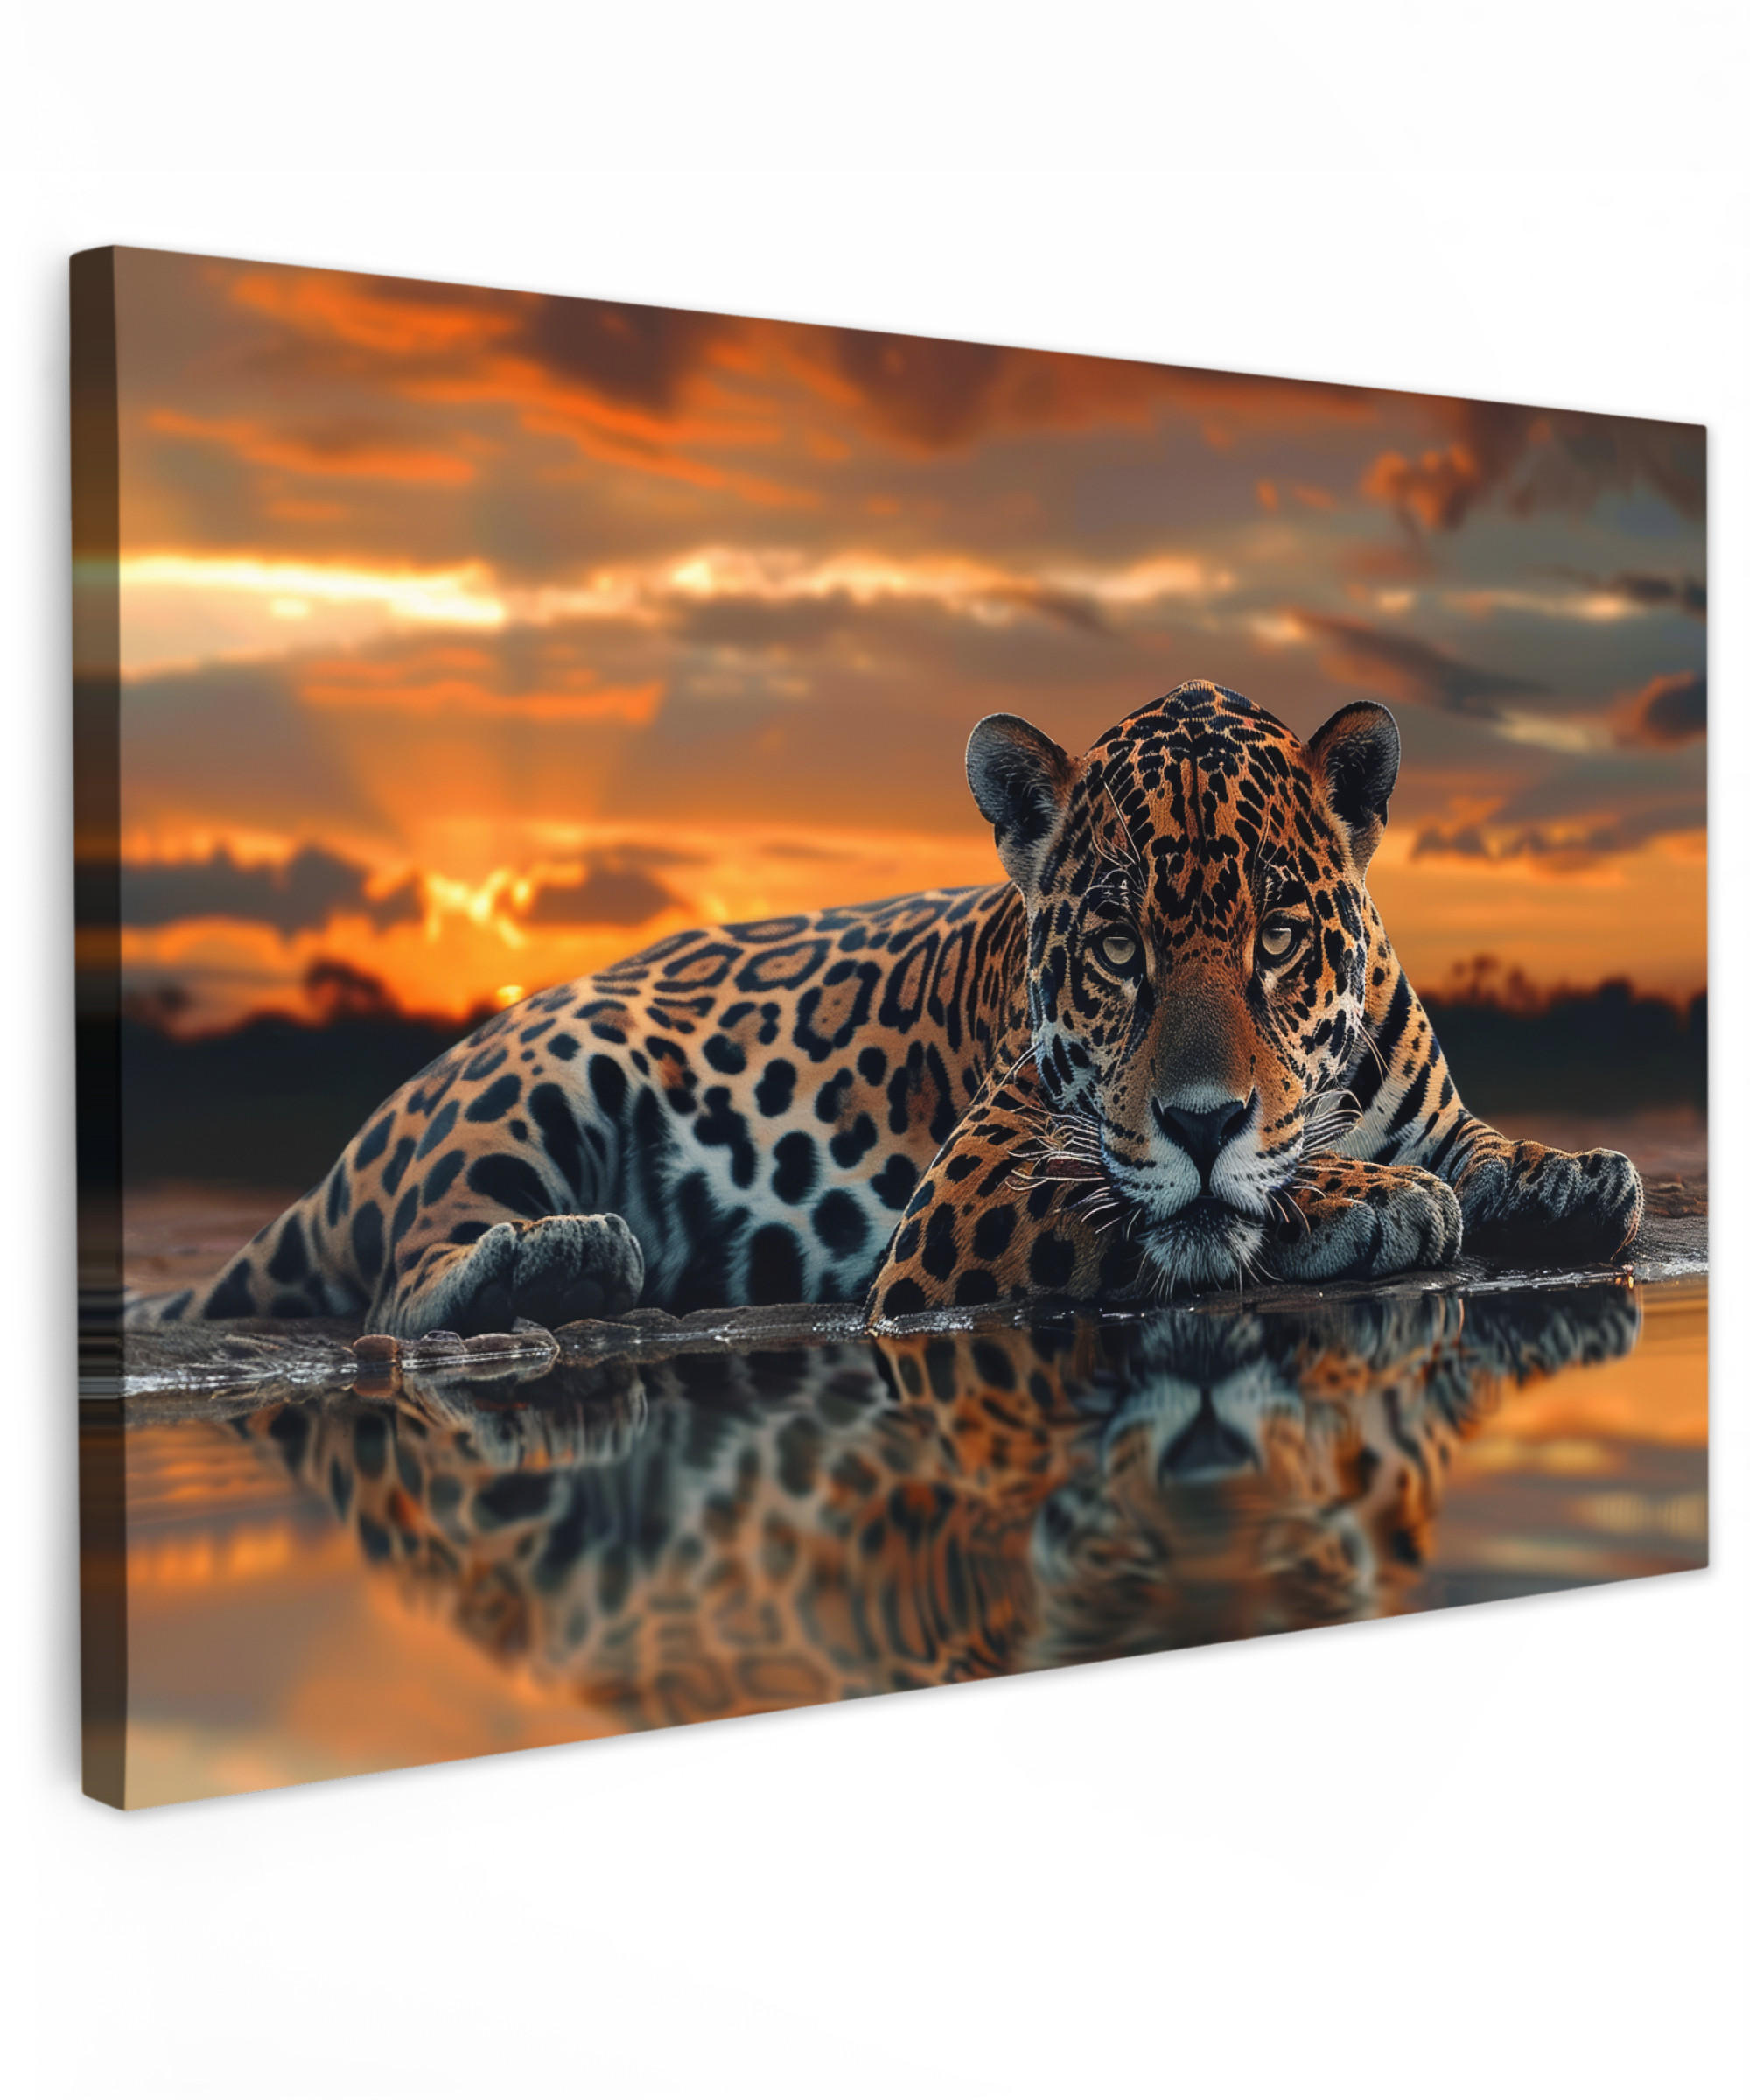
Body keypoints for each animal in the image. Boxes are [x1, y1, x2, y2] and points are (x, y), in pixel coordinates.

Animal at [135, 678, 1643, 1338]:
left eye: (1276, 937)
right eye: (1116, 948)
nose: (1206, 1118)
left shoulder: (1423, 1102)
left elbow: (1478, 1147)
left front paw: (1568, 1176)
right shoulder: (977, 1193)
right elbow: (1183, 1206)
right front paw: (1365, 1198)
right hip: (541, 1077)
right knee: (401, 1291)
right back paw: (558, 1260)